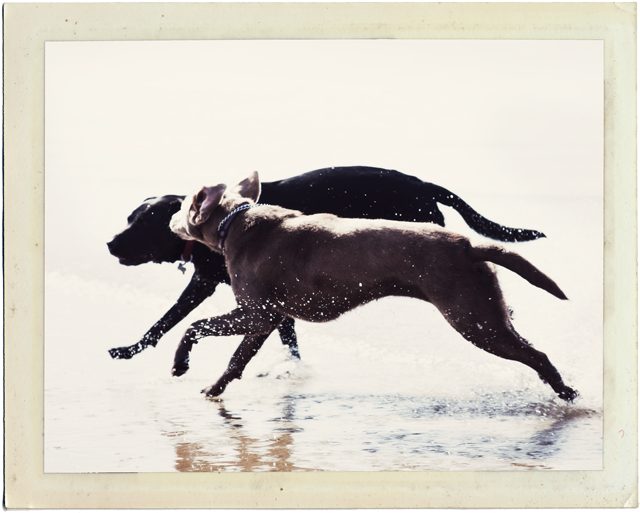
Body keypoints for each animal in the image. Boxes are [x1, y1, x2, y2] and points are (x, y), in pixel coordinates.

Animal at [107, 166, 544, 358]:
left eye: (144, 222)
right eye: (129, 218)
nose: (110, 244)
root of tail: (421, 182)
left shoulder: (217, 287)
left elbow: (167, 319)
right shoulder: (234, 289)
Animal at [169, 172, 576, 400]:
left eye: (182, 205)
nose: (172, 218)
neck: (236, 223)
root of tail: (468, 245)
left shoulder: (257, 314)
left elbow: (200, 331)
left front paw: (185, 369)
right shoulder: (265, 319)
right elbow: (228, 353)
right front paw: (207, 384)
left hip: (473, 319)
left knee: (537, 356)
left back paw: (566, 392)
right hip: (486, 311)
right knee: (529, 347)